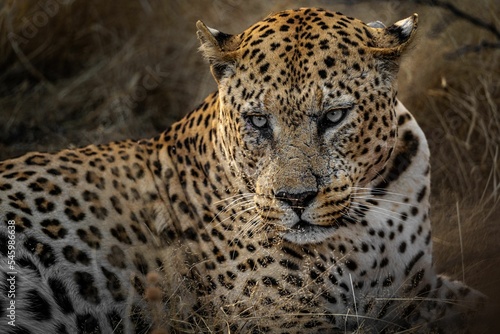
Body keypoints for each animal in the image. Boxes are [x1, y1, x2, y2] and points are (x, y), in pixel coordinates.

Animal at [0, 7, 484, 334]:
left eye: (333, 116)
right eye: (258, 121)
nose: (295, 200)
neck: (373, 210)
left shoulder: (418, 287)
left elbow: (474, 300)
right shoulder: (283, 318)